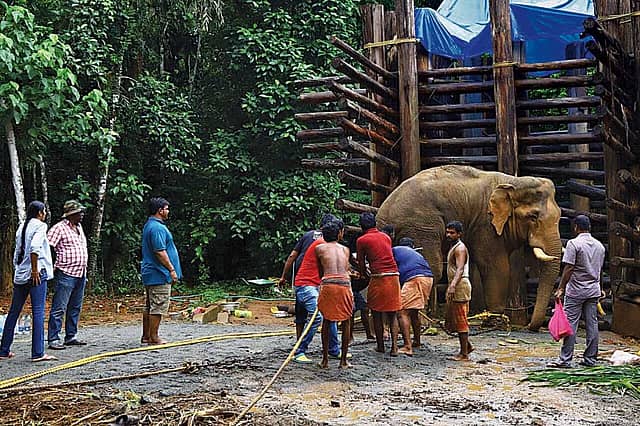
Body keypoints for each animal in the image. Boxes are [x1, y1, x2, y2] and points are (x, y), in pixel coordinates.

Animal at [376, 165, 562, 331]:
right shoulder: (486, 225)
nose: (530, 326)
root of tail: (385, 211)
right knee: (432, 268)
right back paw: (422, 324)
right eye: (533, 216)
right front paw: (495, 323)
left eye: (559, 216)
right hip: (421, 226)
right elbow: (496, 266)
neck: (513, 182)